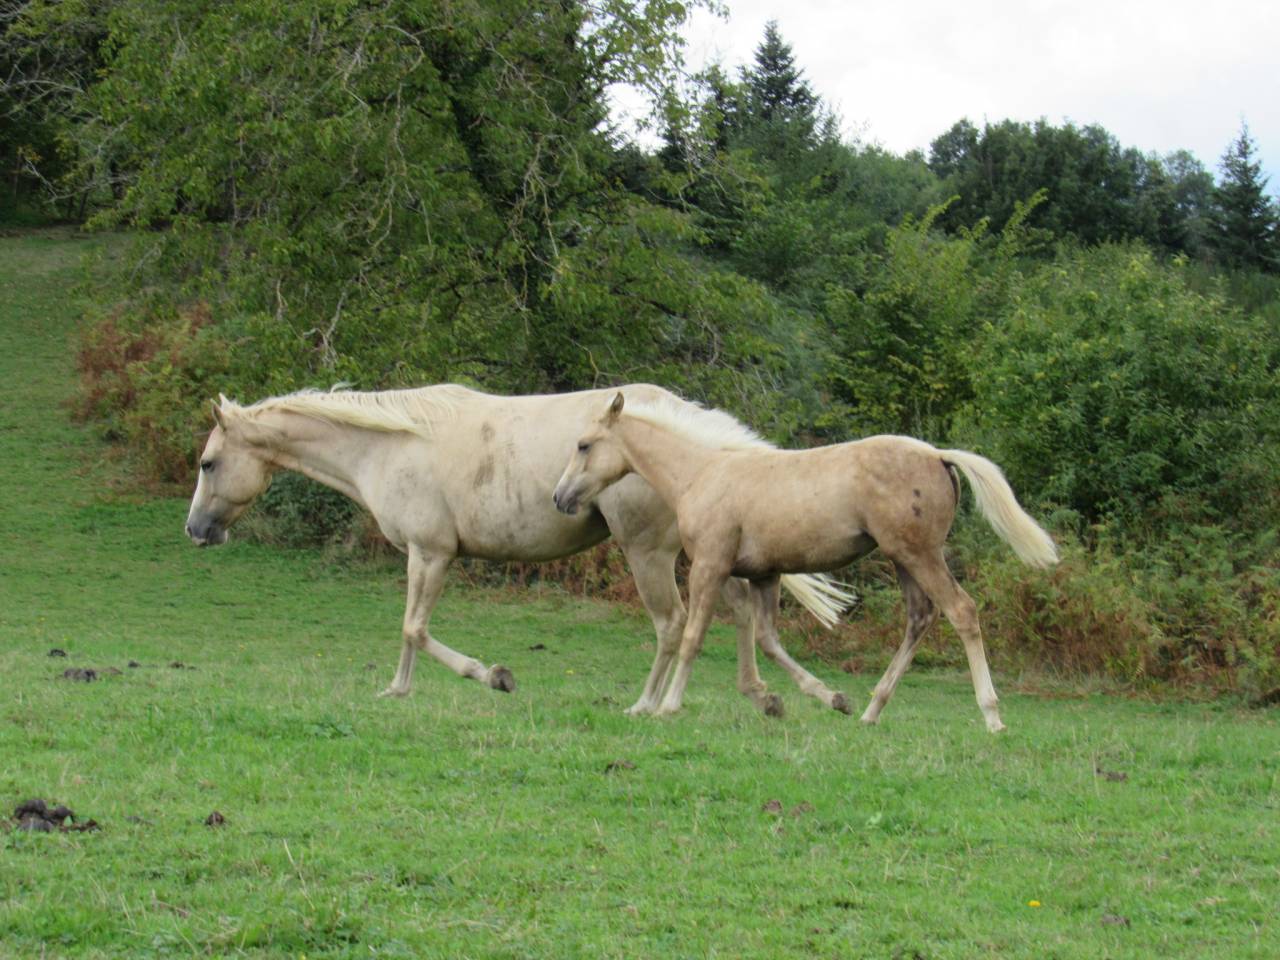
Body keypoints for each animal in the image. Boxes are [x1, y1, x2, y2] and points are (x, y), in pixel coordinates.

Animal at [184, 383, 856, 716]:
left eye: (208, 462)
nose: (196, 530)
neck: (392, 444)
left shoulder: (431, 553)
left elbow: (416, 628)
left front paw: (493, 676)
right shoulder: (421, 555)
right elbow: (408, 630)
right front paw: (397, 691)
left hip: (654, 556)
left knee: (675, 625)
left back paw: (650, 704)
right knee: (742, 611)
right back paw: (778, 695)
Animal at [553, 393, 1058, 732]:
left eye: (583, 445)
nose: (560, 498)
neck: (701, 474)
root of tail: (937, 454)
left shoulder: (709, 566)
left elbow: (694, 635)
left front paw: (668, 705)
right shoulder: (762, 574)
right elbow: (768, 640)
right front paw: (831, 698)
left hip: (919, 553)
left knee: (961, 611)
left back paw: (992, 716)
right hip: (903, 558)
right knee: (920, 618)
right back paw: (870, 711)